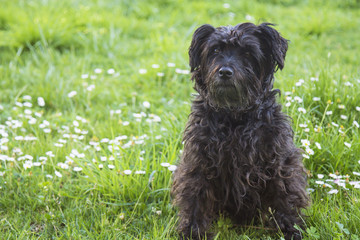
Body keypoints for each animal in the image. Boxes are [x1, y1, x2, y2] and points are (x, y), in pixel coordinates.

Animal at [172, 23, 310, 240]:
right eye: (215, 50)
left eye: (247, 52)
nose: (225, 72)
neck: (234, 117)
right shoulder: (199, 162)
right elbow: (196, 198)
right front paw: (193, 232)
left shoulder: (279, 162)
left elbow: (285, 195)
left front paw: (290, 229)